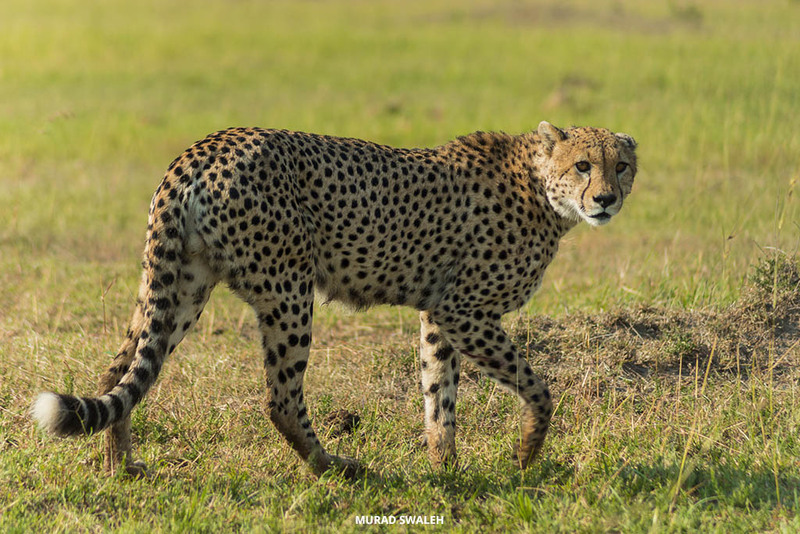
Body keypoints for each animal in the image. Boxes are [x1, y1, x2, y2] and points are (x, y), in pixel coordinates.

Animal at [32, 121, 637, 478]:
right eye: (584, 165)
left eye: (622, 165)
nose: (606, 198)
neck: (542, 190)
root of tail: (208, 145)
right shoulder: (464, 311)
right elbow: (537, 386)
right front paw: (527, 452)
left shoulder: (439, 315)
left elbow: (438, 395)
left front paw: (445, 471)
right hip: (287, 289)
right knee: (280, 400)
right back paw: (335, 466)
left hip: (180, 285)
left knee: (120, 371)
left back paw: (120, 466)